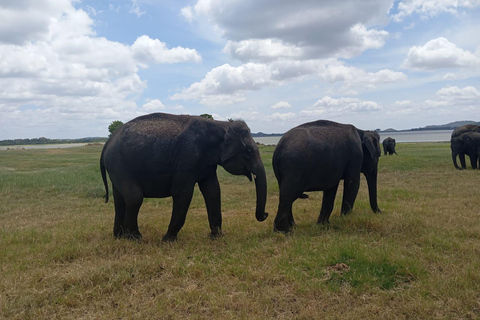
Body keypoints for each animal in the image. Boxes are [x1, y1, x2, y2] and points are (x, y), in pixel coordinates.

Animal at [99, 112, 268, 240]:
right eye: (249, 152)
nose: (265, 215)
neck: (222, 124)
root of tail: (107, 142)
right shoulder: (188, 156)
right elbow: (182, 193)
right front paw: (167, 240)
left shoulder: (207, 163)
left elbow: (213, 190)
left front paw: (217, 237)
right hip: (119, 164)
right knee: (134, 198)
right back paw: (135, 238)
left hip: (116, 167)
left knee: (120, 199)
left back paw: (119, 237)